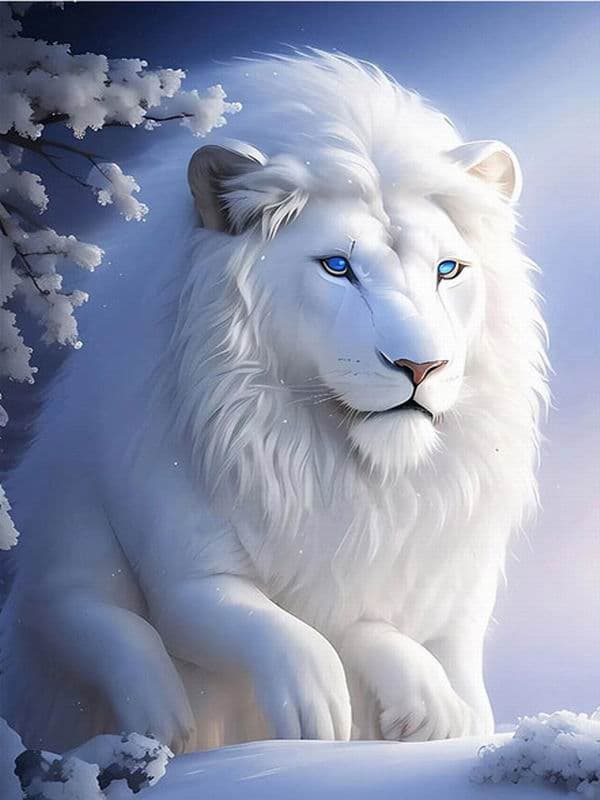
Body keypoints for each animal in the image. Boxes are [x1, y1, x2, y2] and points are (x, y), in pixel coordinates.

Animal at [0, 52, 548, 754]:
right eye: (338, 267)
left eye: (447, 270)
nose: (421, 366)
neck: (348, 473)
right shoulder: (188, 581)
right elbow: (283, 632)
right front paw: (314, 717)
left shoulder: (449, 586)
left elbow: (389, 635)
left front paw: (437, 716)